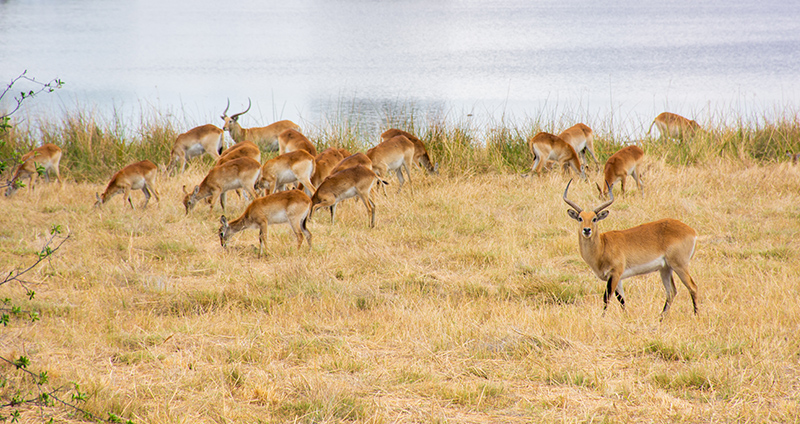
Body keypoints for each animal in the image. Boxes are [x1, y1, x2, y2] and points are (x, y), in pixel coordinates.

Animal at [564, 180, 700, 322]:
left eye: (594, 219)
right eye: (580, 218)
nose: (586, 230)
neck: (602, 246)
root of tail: (692, 231)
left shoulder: (615, 273)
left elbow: (606, 298)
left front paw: (602, 318)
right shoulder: (617, 278)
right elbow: (621, 300)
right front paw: (626, 317)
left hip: (680, 266)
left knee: (693, 287)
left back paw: (696, 315)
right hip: (665, 269)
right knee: (671, 292)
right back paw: (661, 318)